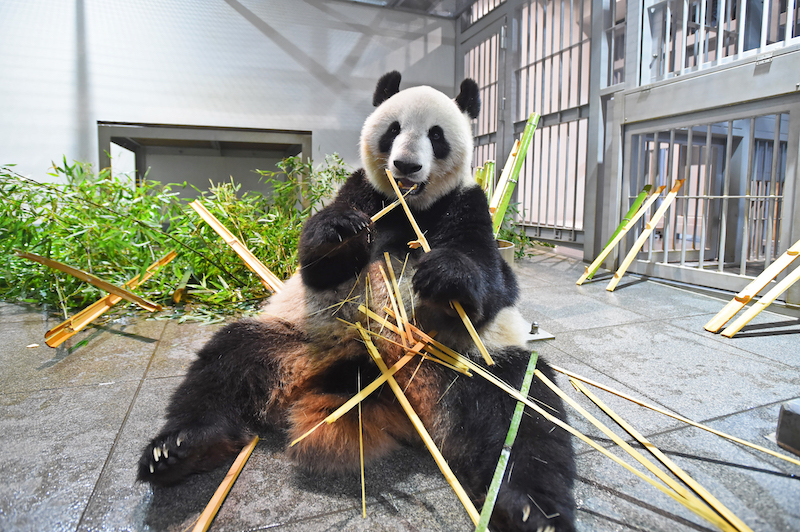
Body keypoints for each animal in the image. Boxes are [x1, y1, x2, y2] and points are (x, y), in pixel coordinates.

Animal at [139, 71, 576, 532]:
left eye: (436, 135)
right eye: (393, 130)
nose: (405, 166)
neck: (409, 206)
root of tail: (374, 379)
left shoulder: (467, 205)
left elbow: (490, 282)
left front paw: (445, 274)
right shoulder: (362, 191)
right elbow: (318, 263)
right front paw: (340, 229)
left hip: (470, 362)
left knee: (525, 412)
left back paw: (530, 510)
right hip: (296, 338)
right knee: (225, 364)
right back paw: (178, 450)